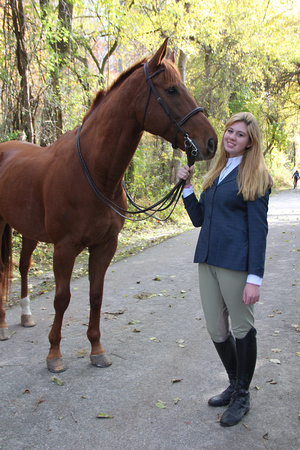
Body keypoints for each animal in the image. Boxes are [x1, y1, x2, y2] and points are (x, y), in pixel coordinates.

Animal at [0, 39, 217, 372]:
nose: (211, 142)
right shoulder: (65, 247)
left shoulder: (105, 245)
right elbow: (62, 298)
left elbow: (96, 295)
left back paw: (25, 315)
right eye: (171, 90)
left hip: (28, 231)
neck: (93, 172)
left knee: (23, 266)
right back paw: (2, 325)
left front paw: (96, 349)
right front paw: (54, 354)